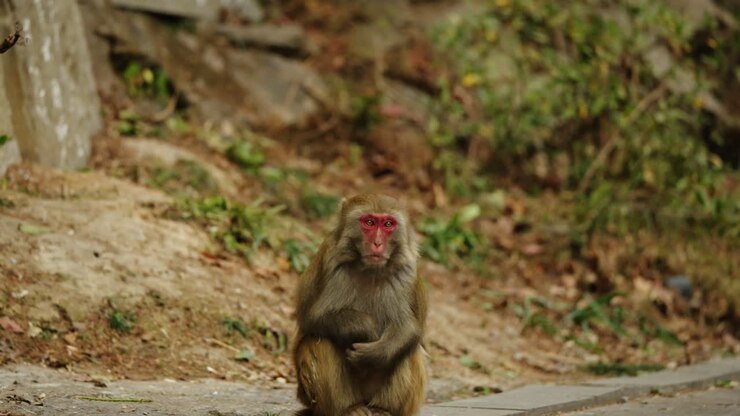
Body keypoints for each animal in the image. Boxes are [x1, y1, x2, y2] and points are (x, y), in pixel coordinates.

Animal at [293, 194, 428, 416]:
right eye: (369, 222)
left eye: (388, 224)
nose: (377, 243)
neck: (370, 269)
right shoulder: (330, 261)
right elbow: (312, 318)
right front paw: (364, 327)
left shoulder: (408, 271)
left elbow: (409, 328)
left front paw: (374, 354)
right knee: (322, 341)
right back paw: (349, 409)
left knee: (409, 350)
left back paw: (383, 409)